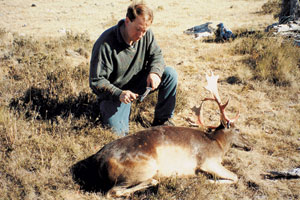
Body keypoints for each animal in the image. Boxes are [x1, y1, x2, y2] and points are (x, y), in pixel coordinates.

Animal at [71, 71, 240, 197]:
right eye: (238, 129)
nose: (246, 145)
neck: (217, 143)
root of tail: (98, 161)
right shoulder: (208, 162)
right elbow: (235, 177)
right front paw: (209, 181)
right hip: (144, 169)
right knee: (112, 191)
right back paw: (157, 181)